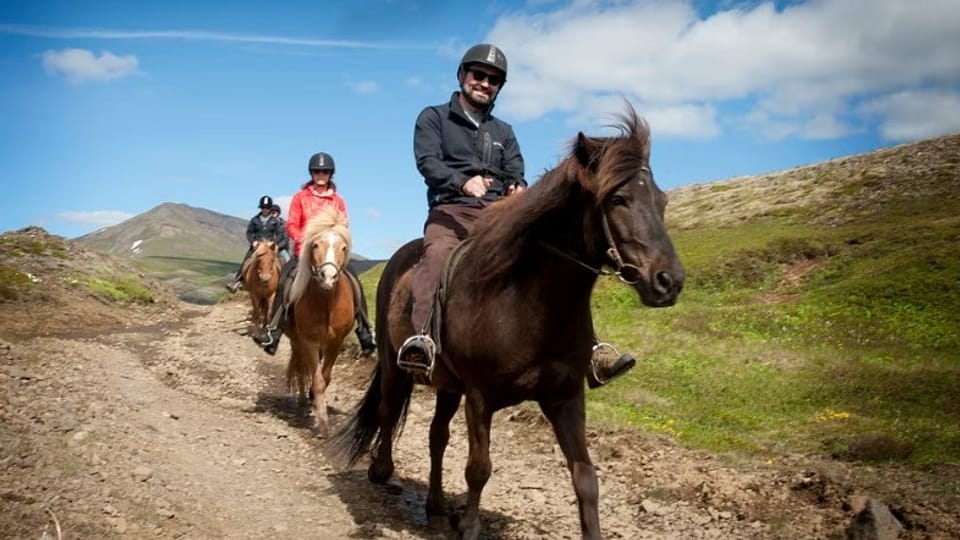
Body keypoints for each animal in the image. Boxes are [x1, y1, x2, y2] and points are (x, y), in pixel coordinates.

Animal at [284, 206, 356, 438]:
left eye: (343, 247)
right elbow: (316, 380)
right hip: (297, 341)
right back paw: (301, 400)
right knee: (300, 367)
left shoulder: (336, 342)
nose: (328, 277)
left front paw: (317, 407)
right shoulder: (308, 342)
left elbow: (326, 378)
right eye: (315, 245)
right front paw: (322, 423)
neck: (326, 303)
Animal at [329, 105, 686, 539]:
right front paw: (469, 525)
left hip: (448, 386)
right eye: (618, 198)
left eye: (661, 200)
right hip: (397, 367)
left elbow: (586, 478)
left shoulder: (566, 398)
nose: (669, 282)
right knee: (387, 409)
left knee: (436, 437)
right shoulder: (480, 397)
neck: (529, 306)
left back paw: (435, 508)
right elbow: (478, 469)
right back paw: (383, 471)